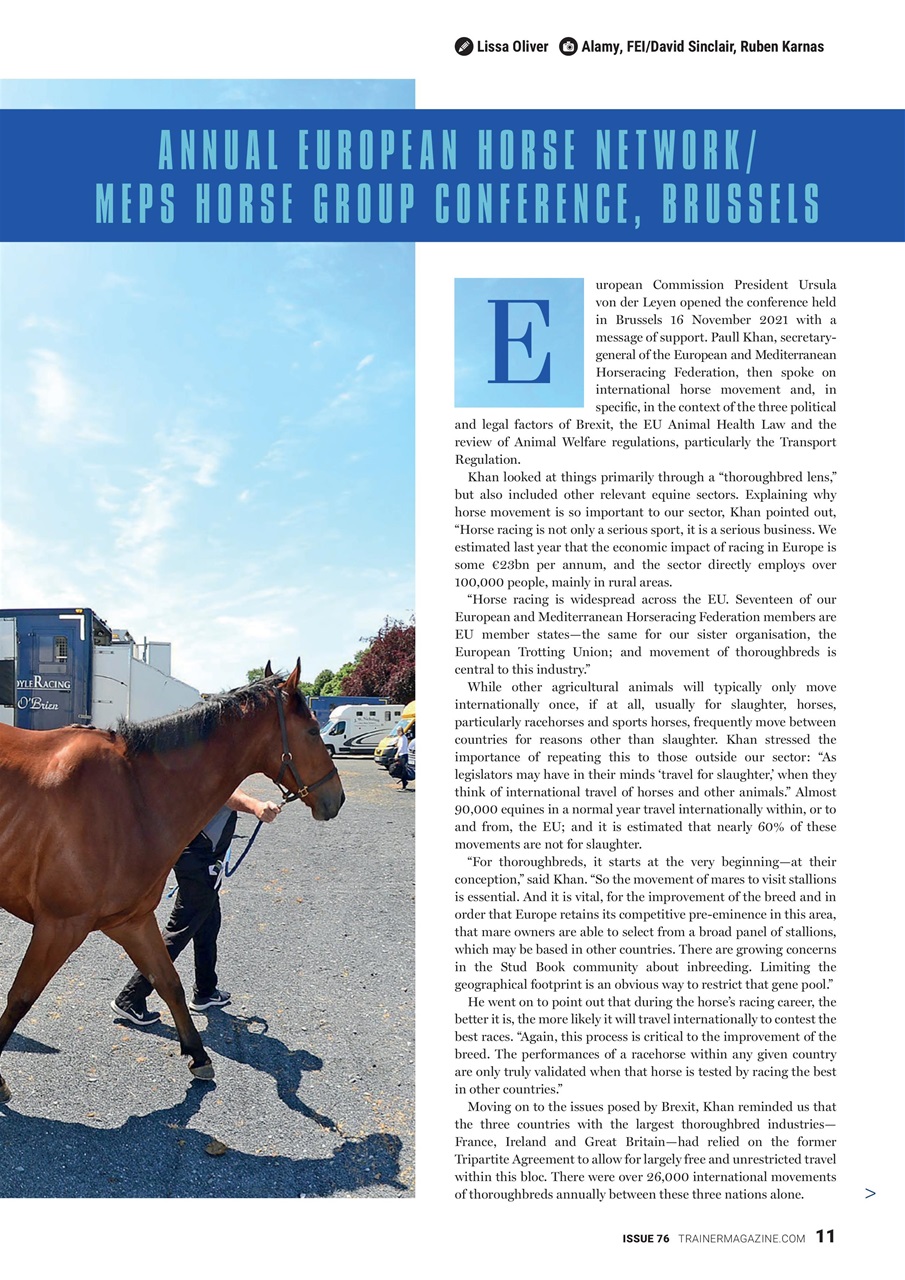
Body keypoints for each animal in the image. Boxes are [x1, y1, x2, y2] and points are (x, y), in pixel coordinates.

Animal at [0, 660, 344, 1102]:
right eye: (314, 731)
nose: (336, 797)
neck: (134, 795)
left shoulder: (131, 921)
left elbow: (169, 981)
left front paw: (198, 1055)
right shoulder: (59, 926)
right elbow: (21, 997)